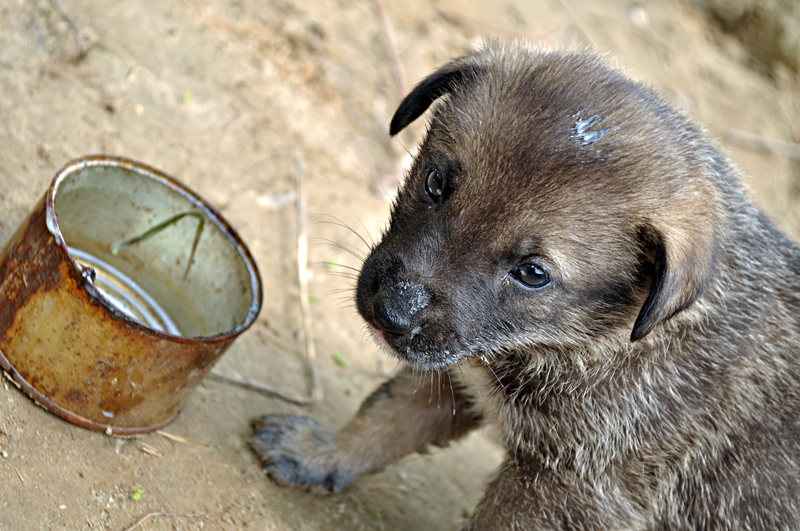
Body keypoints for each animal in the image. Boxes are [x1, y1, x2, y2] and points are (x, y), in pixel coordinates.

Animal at [247, 43, 800, 528]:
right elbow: (387, 414)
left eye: (533, 273)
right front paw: (319, 453)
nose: (391, 312)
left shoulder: (569, 487)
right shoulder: (456, 372)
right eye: (434, 183)